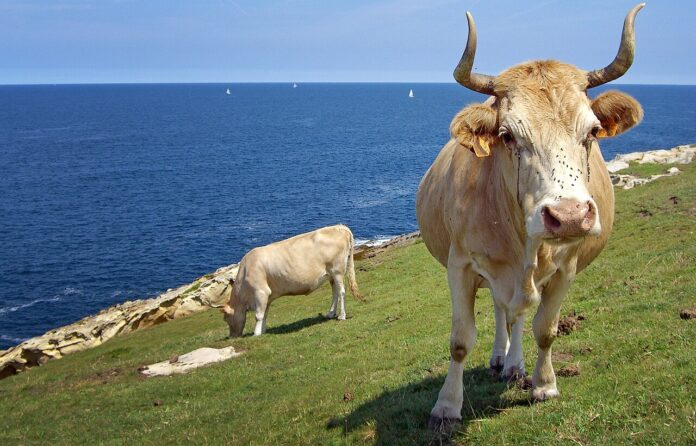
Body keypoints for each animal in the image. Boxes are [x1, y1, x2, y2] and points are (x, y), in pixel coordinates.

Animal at [221, 225, 363, 337]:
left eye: (226, 319)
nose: (232, 337)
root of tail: (340, 227)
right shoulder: (269, 295)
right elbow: (265, 313)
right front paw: (263, 331)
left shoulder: (261, 292)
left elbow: (259, 315)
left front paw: (256, 334)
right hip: (331, 275)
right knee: (335, 292)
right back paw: (331, 313)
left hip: (337, 270)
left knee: (342, 292)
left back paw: (342, 316)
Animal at [416, 4, 645, 429]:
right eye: (507, 135)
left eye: (592, 131)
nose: (569, 216)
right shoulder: (460, 266)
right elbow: (460, 341)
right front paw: (447, 406)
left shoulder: (567, 267)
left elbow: (545, 329)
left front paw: (544, 384)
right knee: (502, 309)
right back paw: (499, 357)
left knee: (516, 313)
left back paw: (513, 365)